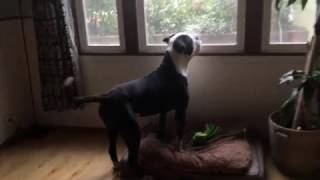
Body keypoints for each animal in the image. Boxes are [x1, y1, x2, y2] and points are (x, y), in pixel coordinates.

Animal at [65, 33, 200, 175]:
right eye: (190, 39)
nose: (198, 36)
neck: (174, 66)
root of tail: (106, 97)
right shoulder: (182, 109)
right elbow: (180, 132)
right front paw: (181, 150)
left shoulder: (163, 111)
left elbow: (162, 127)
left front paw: (161, 140)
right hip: (132, 129)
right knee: (131, 158)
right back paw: (142, 173)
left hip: (113, 129)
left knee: (113, 150)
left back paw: (118, 167)